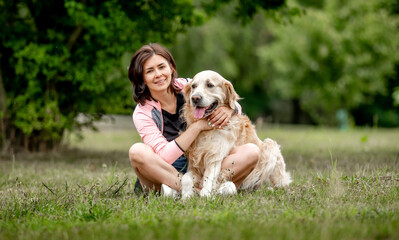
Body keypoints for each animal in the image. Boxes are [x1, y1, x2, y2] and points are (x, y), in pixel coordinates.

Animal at [181, 70, 290, 199]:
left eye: (210, 85)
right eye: (193, 86)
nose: (195, 98)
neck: (207, 130)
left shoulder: (215, 156)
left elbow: (208, 179)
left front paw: (206, 194)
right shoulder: (193, 161)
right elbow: (186, 178)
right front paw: (186, 196)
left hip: (270, 146)